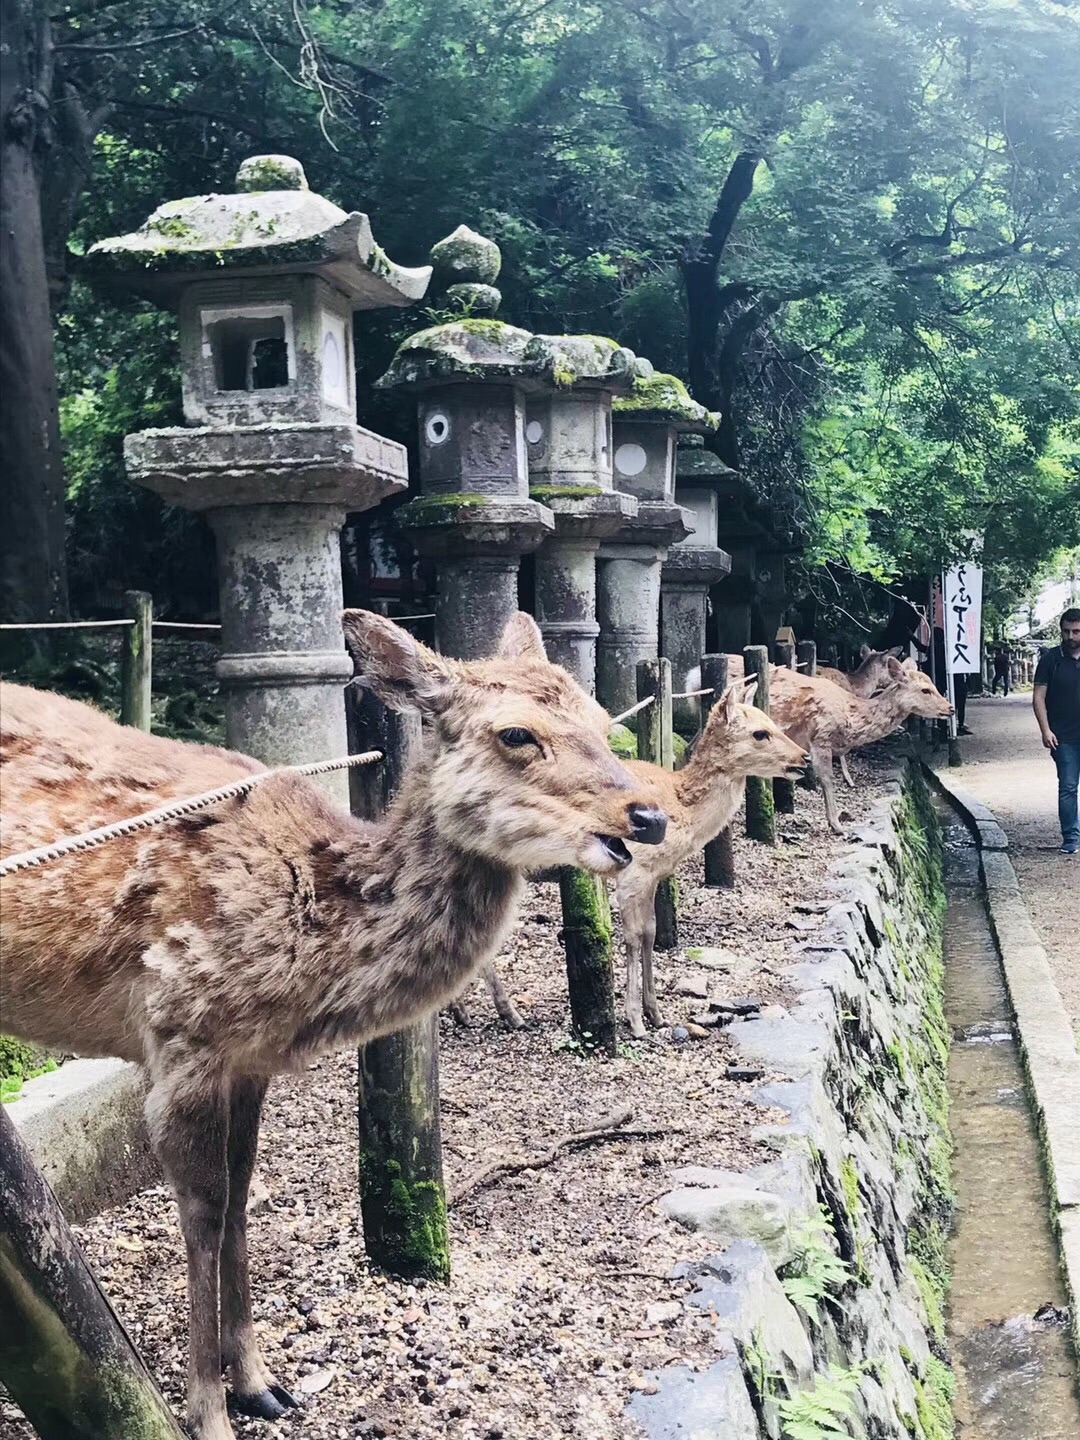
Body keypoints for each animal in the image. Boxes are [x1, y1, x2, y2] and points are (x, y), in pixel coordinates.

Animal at [0, 613, 673, 1440]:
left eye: (604, 722)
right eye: (517, 733)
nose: (647, 815)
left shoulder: (247, 1059)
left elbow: (241, 1194)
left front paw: (263, 1385)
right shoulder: (180, 1036)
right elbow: (204, 1210)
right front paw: (210, 1413)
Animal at [613, 682, 806, 1036]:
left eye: (772, 721)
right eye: (760, 733)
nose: (804, 757)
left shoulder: (653, 875)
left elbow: (650, 931)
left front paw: (656, 1014)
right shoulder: (633, 871)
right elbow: (633, 936)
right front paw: (635, 1022)